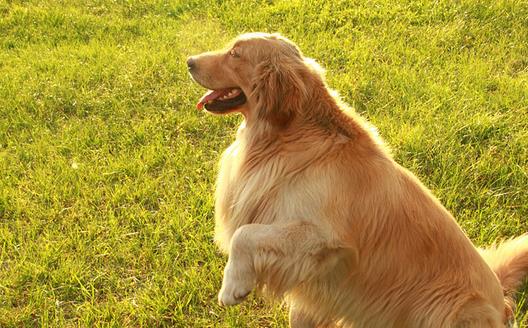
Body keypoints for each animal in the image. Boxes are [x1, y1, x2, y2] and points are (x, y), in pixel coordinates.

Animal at [187, 32, 528, 326]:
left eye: (235, 54)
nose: (189, 61)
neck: (287, 137)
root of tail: (501, 301)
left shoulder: (320, 237)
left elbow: (244, 234)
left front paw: (232, 286)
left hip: (447, 307)